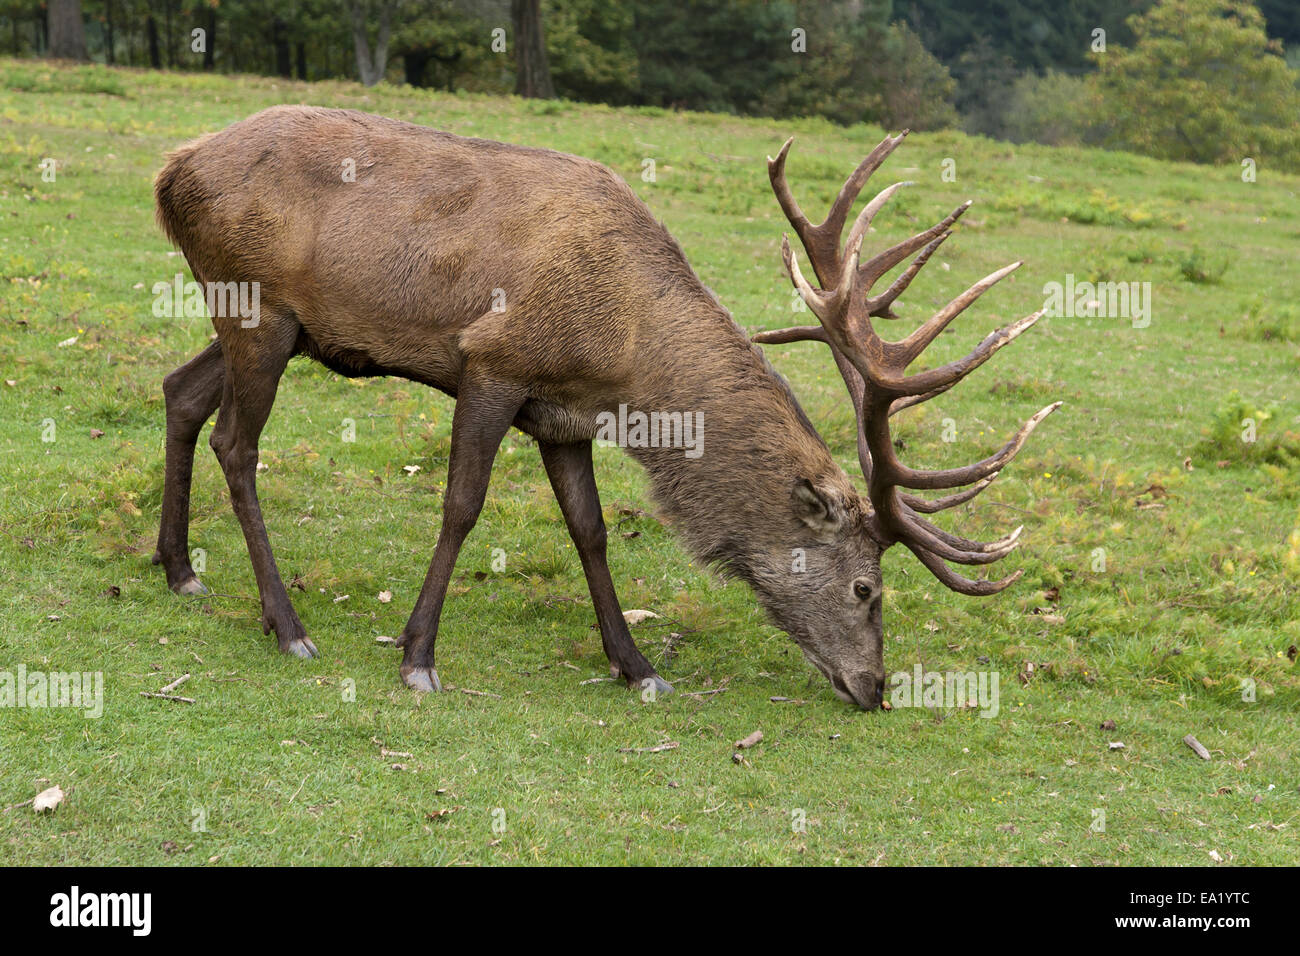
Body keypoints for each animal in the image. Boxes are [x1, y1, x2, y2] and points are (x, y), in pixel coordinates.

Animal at [149, 110, 1055, 712]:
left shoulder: (564, 418)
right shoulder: (493, 363)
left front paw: (638, 663)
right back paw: (286, 624)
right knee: (237, 444)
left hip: (270, 322)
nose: (875, 687)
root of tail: (171, 172)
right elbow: (461, 506)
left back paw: (179, 567)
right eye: (867, 588)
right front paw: (417, 655)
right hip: (261, 309)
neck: (625, 357)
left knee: (179, 390)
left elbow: (589, 530)